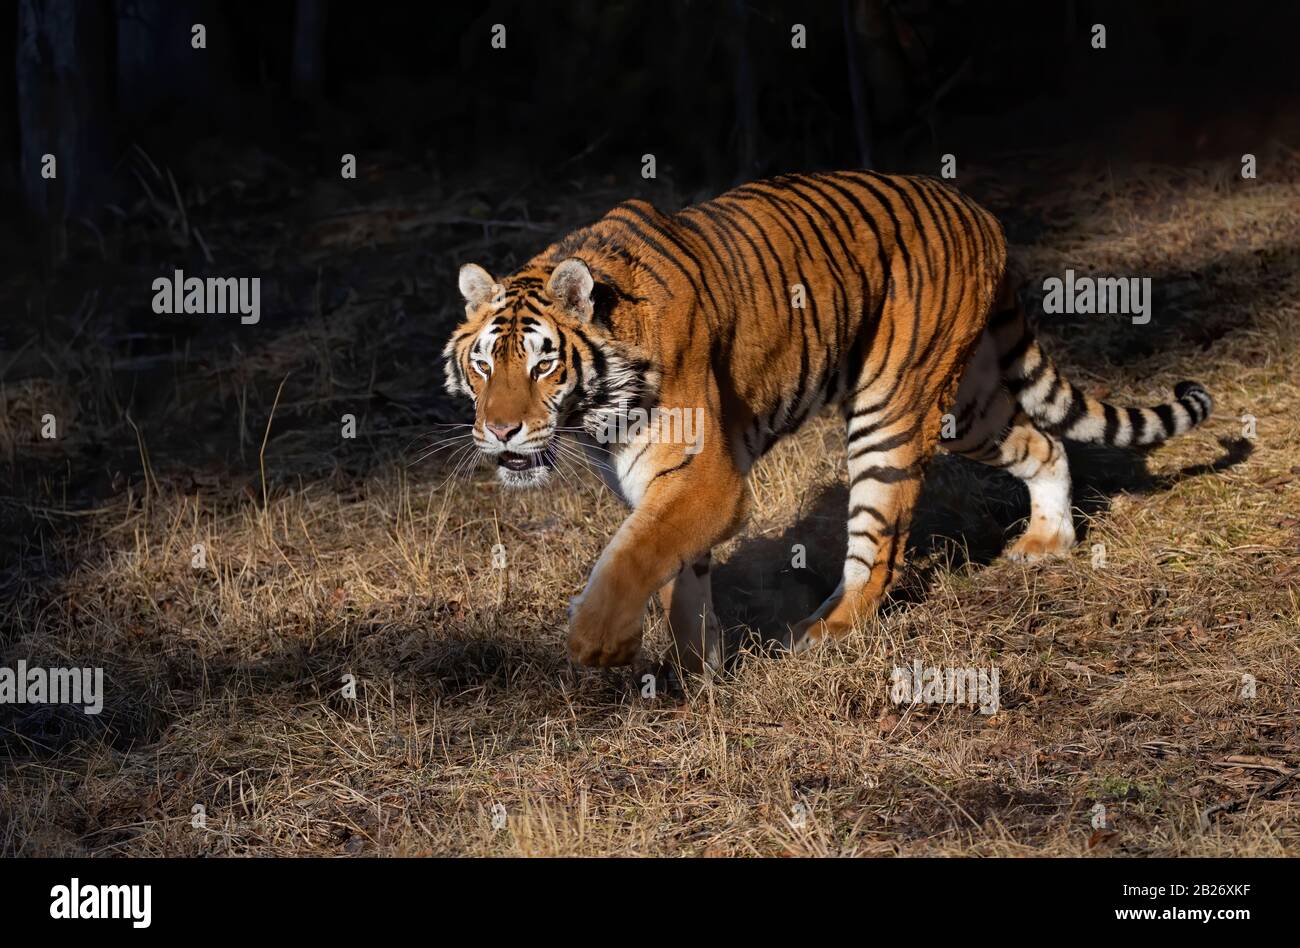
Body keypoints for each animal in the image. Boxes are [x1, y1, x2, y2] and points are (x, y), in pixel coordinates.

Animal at [441, 171, 1211, 671]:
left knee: (879, 550)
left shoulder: (703, 476)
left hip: (891, 410)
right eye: (483, 365)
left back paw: (820, 636)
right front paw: (697, 670)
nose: (501, 432)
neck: (597, 411)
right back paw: (1049, 541)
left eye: (542, 365)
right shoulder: (652, 484)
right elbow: (676, 572)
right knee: (1044, 441)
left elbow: (633, 556)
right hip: (969, 406)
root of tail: (980, 212)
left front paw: (597, 642)